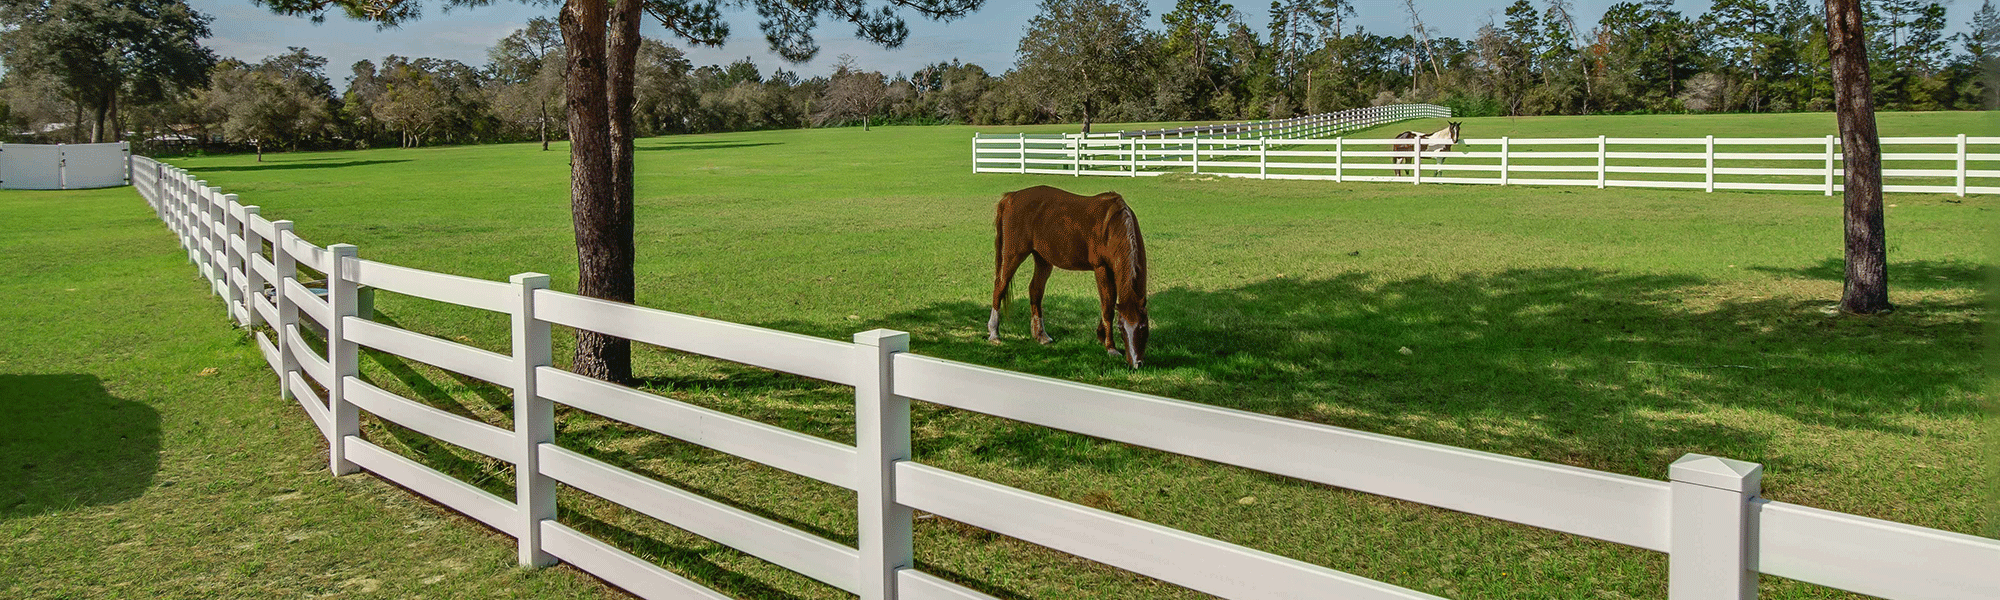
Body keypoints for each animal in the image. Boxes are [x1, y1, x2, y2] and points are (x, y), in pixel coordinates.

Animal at [988, 185, 1152, 368]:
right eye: (1121, 328)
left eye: (1143, 326)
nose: (1136, 363)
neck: (1112, 226)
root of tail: (1011, 197)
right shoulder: (1101, 268)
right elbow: (1107, 306)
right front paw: (1111, 348)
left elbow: (1108, 303)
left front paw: (1101, 335)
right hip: (1013, 254)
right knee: (1000, 286)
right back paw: (994, 334)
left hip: (1042, 259)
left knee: (1035, 290)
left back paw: (1041, 335)